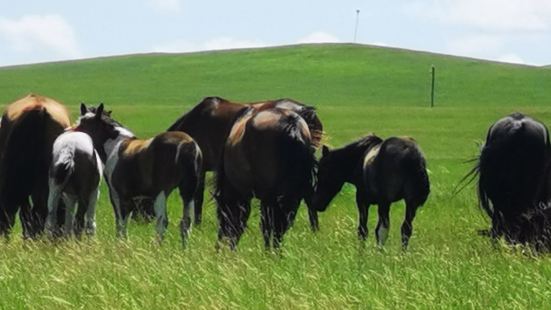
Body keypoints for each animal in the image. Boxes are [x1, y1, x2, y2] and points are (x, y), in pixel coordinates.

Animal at [73, 104, 203, 247]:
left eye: (84, 123)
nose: (72, 132)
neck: (114, 146)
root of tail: (188, 145)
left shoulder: (118, 195)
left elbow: (121, 222)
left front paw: (121, 245)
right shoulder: (133, 198)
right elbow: (126, 221)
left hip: (161, 192)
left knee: (162, 222)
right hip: (188, 192)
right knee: (186, 222)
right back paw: (184, 249)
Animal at [216, 106, 320, 249]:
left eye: (222, 215)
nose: (221, 246)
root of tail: (292, 124)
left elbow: (265, 225)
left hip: (270, 195)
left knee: (272, 225)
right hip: (299, 190)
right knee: (300, 218)